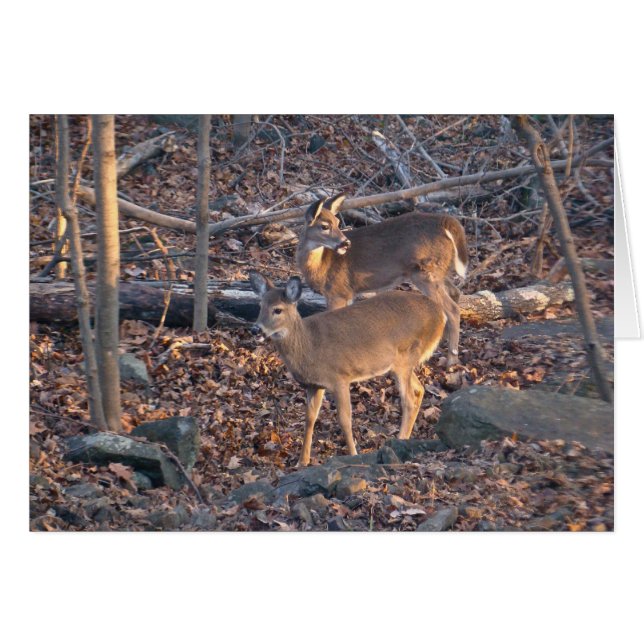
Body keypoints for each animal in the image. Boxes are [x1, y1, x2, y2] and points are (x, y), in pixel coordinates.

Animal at [249, 270, 446, 467]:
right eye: (260, 306)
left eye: (277, 310)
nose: (256, 329)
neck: (309, 344)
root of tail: (440, 316)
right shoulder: (314, 385)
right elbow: (309, 419)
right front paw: (302, 461)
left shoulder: (340, 377)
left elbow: (344, 420)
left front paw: (352, 454)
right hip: (402, 363)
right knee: (420, 389)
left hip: (404, 357)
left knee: (408, 400)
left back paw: (399, 440)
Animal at [295, 194, 468, 367]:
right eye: (324, 226)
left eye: (337, 223)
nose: (346, 243)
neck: (322, 265)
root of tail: (445, 221)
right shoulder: (348, 293)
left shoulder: (338, 291)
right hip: (439, 271)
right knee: (455, 292)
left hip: (424, 273)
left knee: (452, 309)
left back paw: (451, 360)